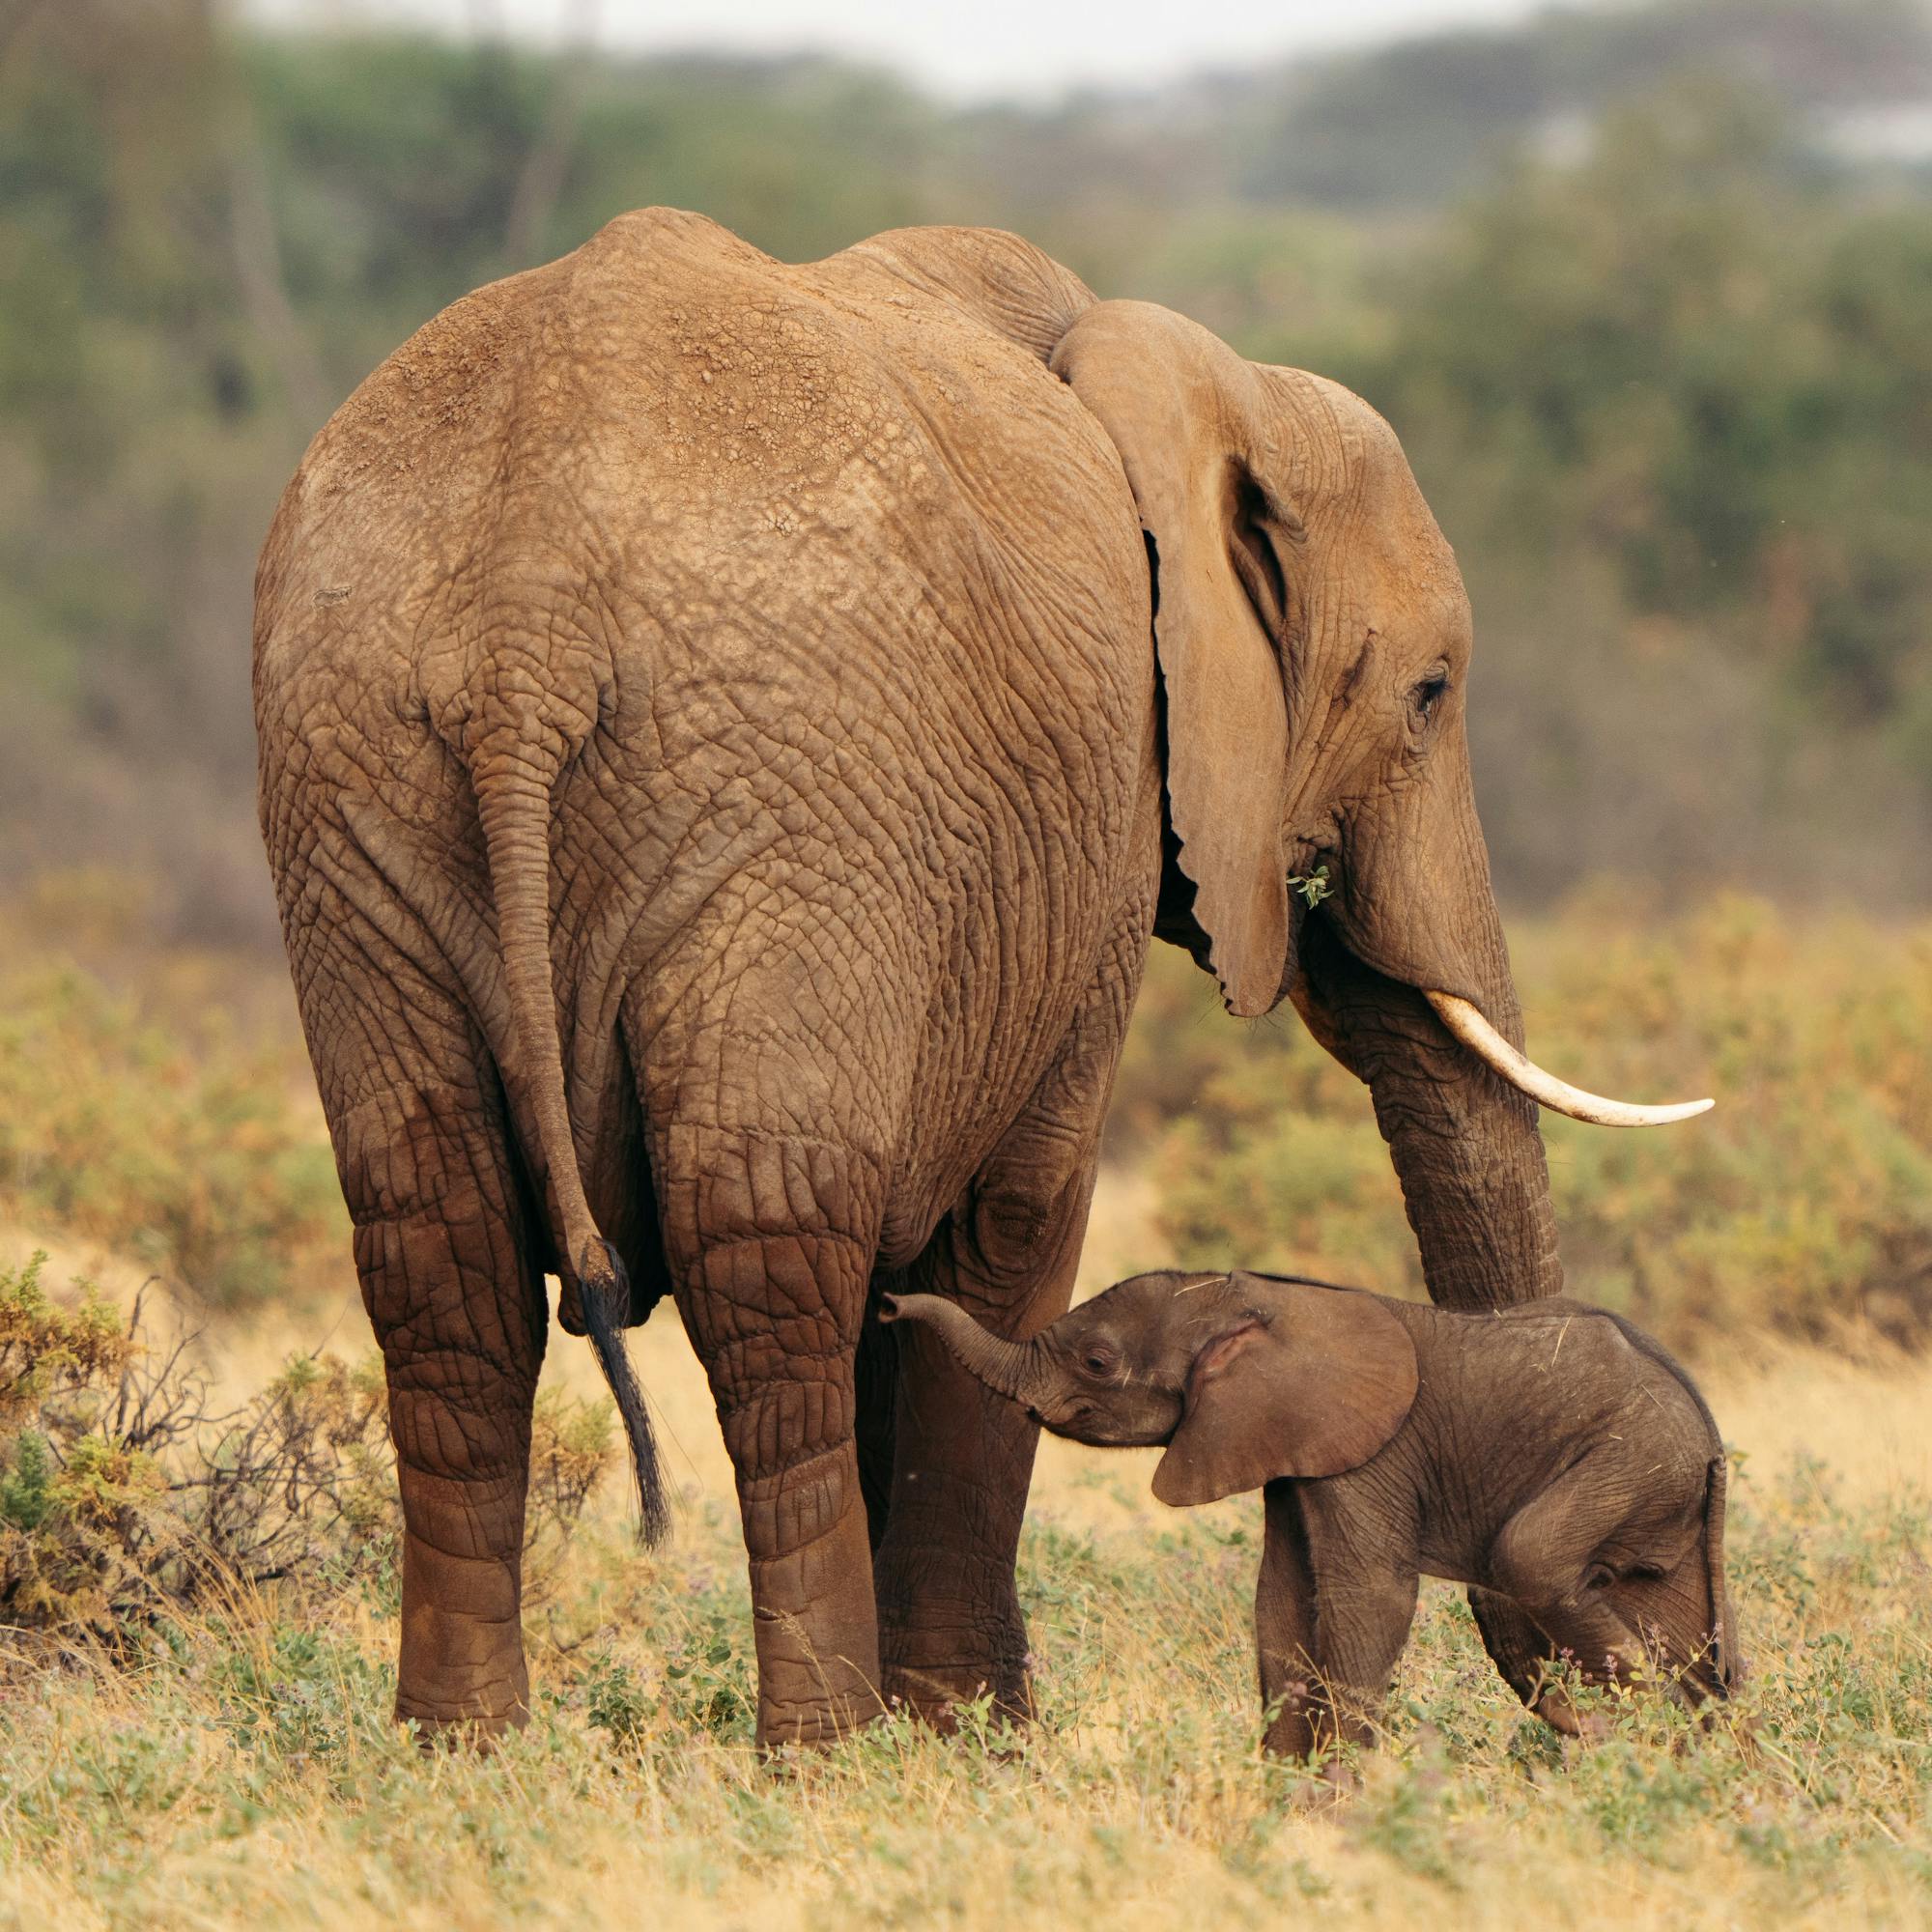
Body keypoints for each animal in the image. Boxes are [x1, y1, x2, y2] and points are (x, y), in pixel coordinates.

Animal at [883, 1271, 1740, 1760]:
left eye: (1096, 1361)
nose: (888, 1306)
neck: (1257, 1303)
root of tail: (1708, 1431)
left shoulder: (1369, 1456)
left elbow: (1367, 1600)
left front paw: (1342, 1801)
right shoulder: (1286, 1452)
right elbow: (1281, 1602)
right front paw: (1289, 1801)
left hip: (1630, 1459)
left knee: (1530, 1557)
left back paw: (1642, 1741)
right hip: (1657, 1494)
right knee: (1674, 1623)